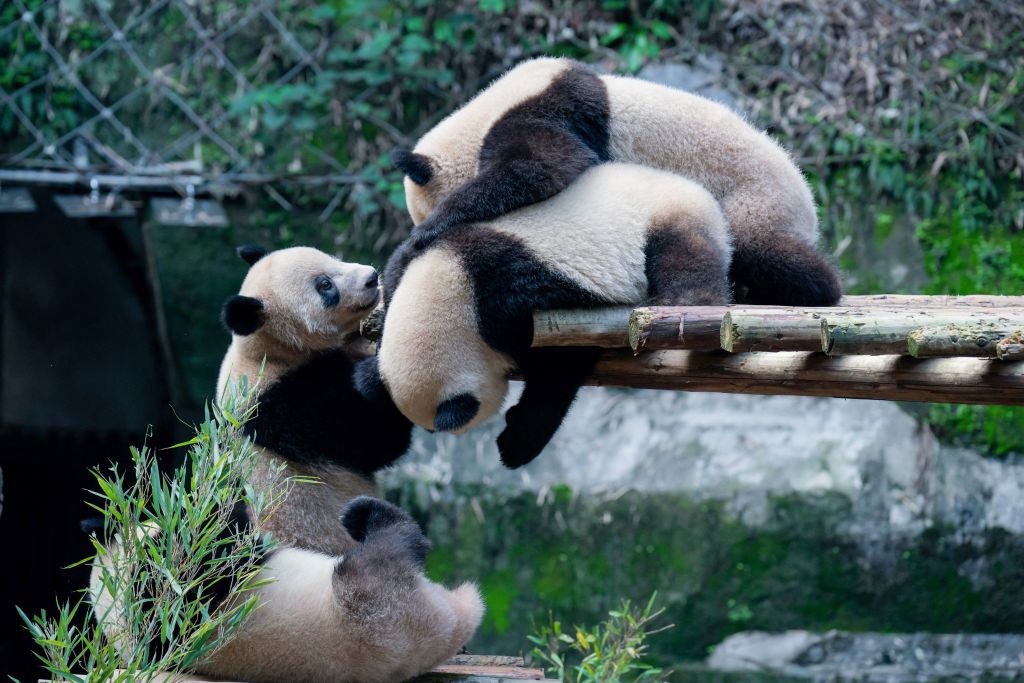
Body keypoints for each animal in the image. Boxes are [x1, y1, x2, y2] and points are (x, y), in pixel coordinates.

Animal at [89, 496, 484, 683]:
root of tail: (458, 616)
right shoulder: (167, 612)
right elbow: (203, 566)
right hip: (373, 606)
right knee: (389, 548)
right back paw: (374, 516)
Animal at [369, 163, 732, 469]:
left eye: (435, 431)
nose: (428, 434)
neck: (454, 279)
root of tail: (694, 188)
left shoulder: (515, 305)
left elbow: (560, 366)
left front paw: (517, 441)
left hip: (667, 218)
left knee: (685, 259)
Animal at [393, 56, 840, 307]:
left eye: (418, 214)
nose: (417, 226)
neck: (481, 113)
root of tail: (809, 201)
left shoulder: (547, 108)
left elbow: (544, 167)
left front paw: (421, 239)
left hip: (756, 196)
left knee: (764, 247)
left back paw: (818, 289)